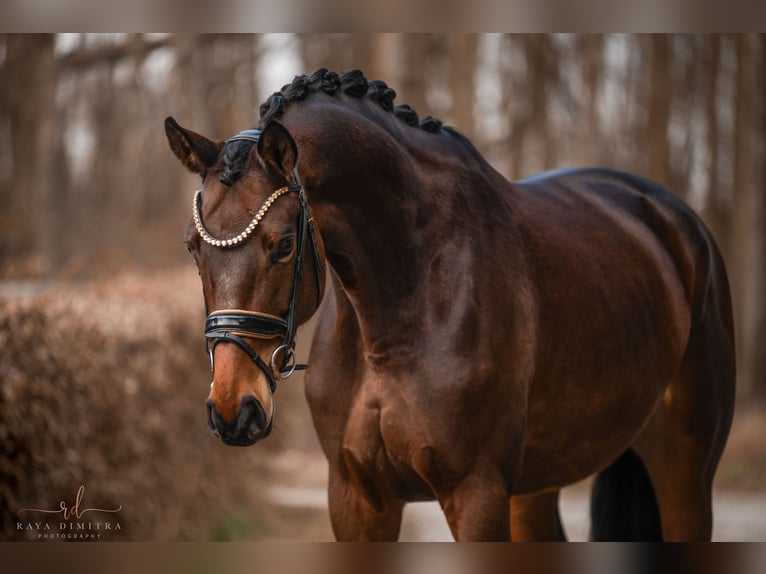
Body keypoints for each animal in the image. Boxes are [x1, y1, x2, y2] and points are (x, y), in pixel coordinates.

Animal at [165, 68, 736, 541]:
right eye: (193, 248)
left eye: (283, 244)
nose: (233, 410)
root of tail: (676, 221)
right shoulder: (357, 499)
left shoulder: (476, 492)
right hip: (535, 486)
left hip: (685, 469)